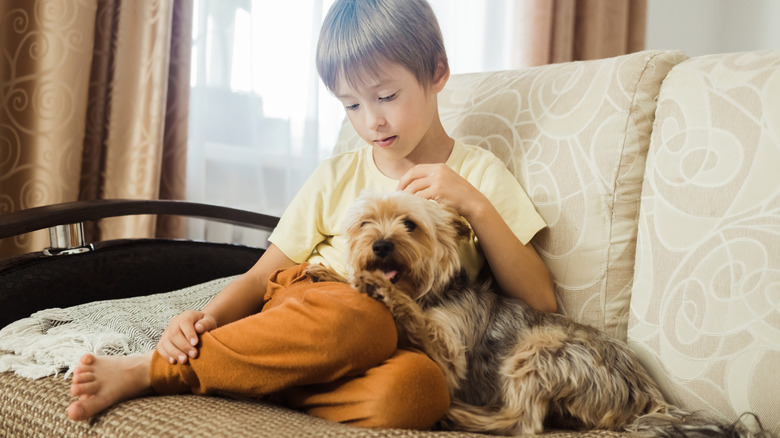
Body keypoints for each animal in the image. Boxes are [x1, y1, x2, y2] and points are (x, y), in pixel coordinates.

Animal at [304, 192, 768, 438]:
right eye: (365, 224)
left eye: (410, 225)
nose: (380, 246)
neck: (434, 291)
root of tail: (648, 396)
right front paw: (333, 271)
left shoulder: (449, 351)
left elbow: (415, 317)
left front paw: (378, 287)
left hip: (540, 351)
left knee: (523, 422)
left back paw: (462, 415)